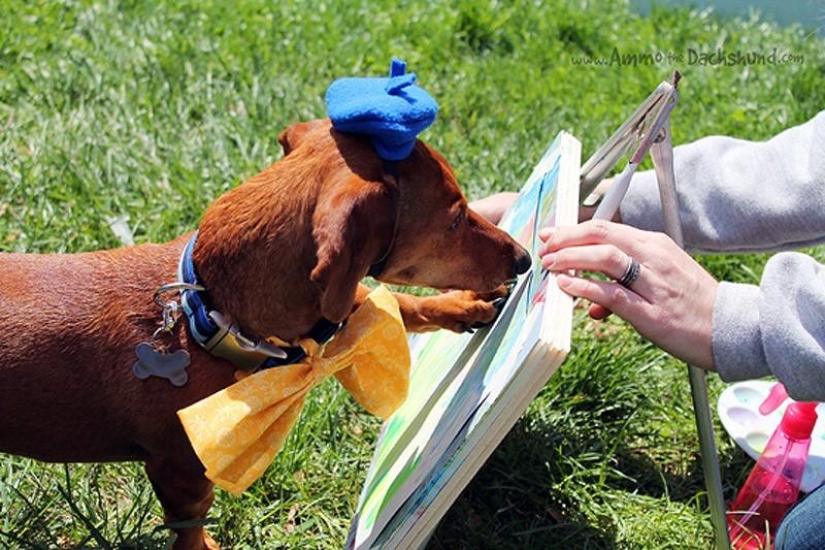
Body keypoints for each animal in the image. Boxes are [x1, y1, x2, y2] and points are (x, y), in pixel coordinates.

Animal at [0, 118, 528, 548]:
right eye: (455, 218)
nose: (523, 259)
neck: (206, 310)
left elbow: (390, 300)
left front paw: (463, 306)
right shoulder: (180, 470)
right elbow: (190, 530)